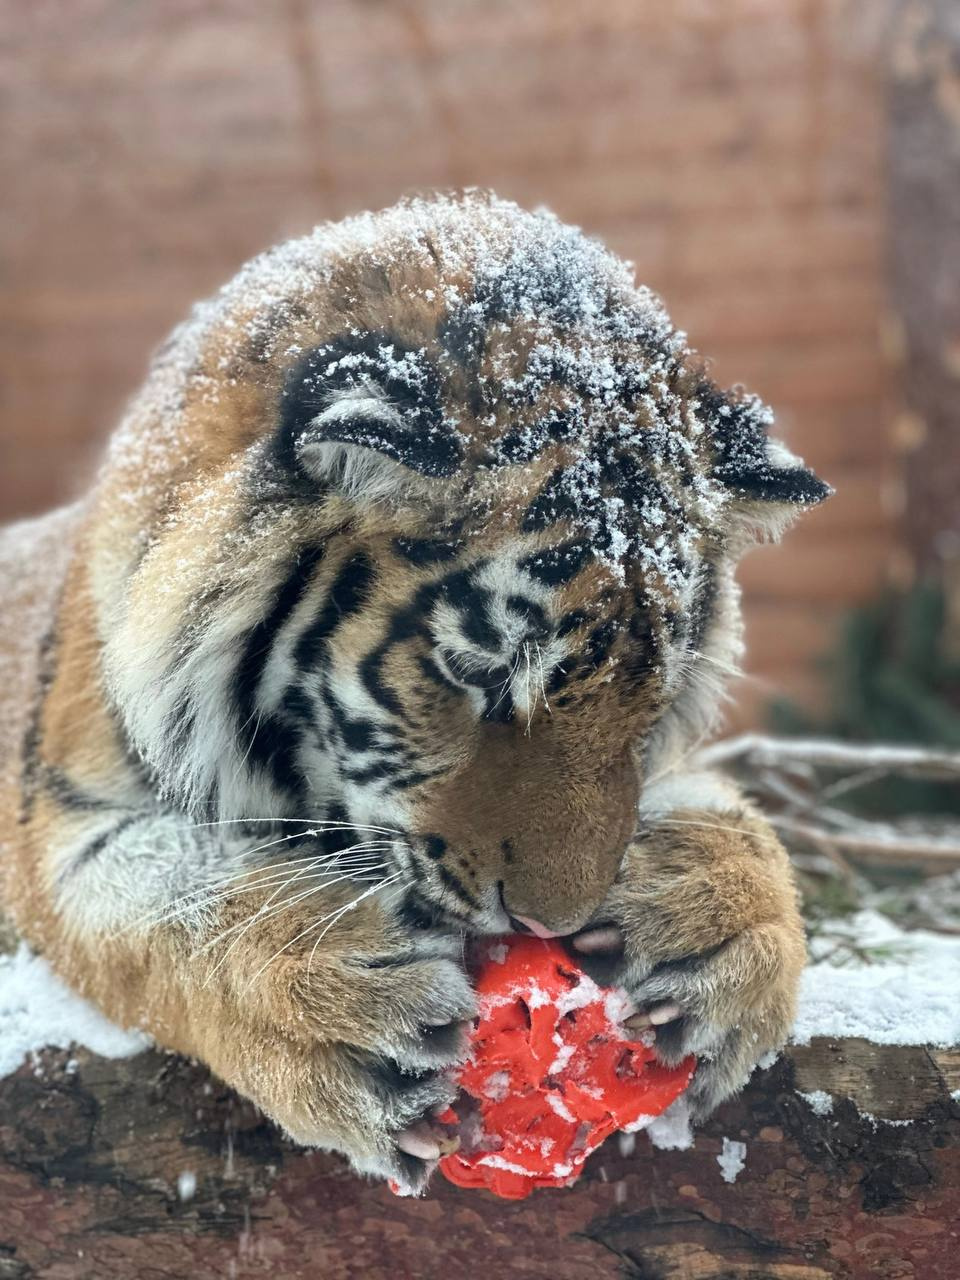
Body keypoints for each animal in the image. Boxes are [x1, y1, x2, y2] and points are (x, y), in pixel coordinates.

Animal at [0, 189, 829, 1187]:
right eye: (481, 676)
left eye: (651, 705)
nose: (556, 920)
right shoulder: (53, 819)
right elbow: (173, 897)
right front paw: (338, 1016)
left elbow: (738, 822)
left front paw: (717, 929)